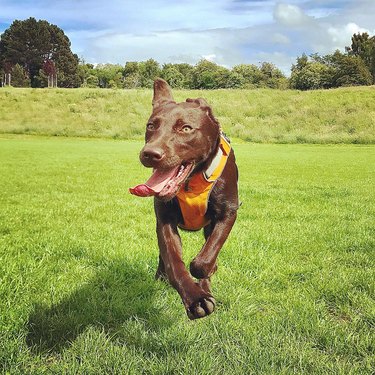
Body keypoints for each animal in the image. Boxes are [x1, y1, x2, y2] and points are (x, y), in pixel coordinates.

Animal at [131, 80, 239, 320]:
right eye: (151, 126)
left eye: (186, 128)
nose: (150, 153)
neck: (192, 182)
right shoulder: (164, 220)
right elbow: (173, 261)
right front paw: (195, 299)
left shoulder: (228, 212)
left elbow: (204, 260)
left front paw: (205, 279)